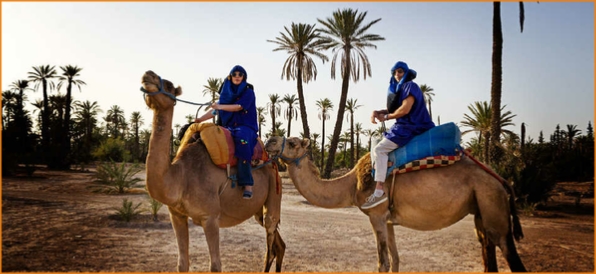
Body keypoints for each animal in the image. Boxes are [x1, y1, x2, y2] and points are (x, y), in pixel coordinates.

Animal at [140, 70, 284, 272]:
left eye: (168, 85)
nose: (148, 75)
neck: (181, 177)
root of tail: (273, 164)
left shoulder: (210, 218)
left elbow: (215, 266)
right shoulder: (176, 215)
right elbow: (182, 264)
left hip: (274, 192)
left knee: (271, 238)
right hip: (258, 211)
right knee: (279, 244)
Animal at [266, 136, 528, 272]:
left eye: (292, 142)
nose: (269, 140)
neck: (351, 185)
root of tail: (501, 180)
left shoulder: (377, 215)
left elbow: (383, 263)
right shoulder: (389, 221)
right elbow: (395, 260)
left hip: (492, 203)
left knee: (510, 254)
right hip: (480, 210)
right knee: (487, 250)